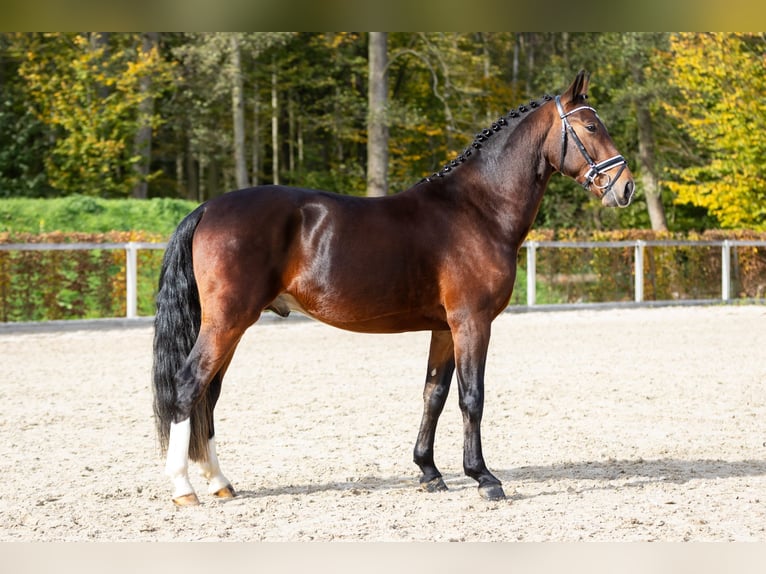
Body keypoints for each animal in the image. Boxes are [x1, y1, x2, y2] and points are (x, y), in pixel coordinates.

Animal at [152, 70, 636, 506]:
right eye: (591, 127)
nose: (625, 187)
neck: (478, 209)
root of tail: (208, 208)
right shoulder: (472, 323)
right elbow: (472, 397)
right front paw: (483, 477)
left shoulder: (444, 328)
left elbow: (433, 395)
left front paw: (429, 472)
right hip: (227, 322)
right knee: (188, 386)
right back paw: (182, 488)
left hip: (230, 326)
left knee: (208, 395)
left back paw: (219, 482)